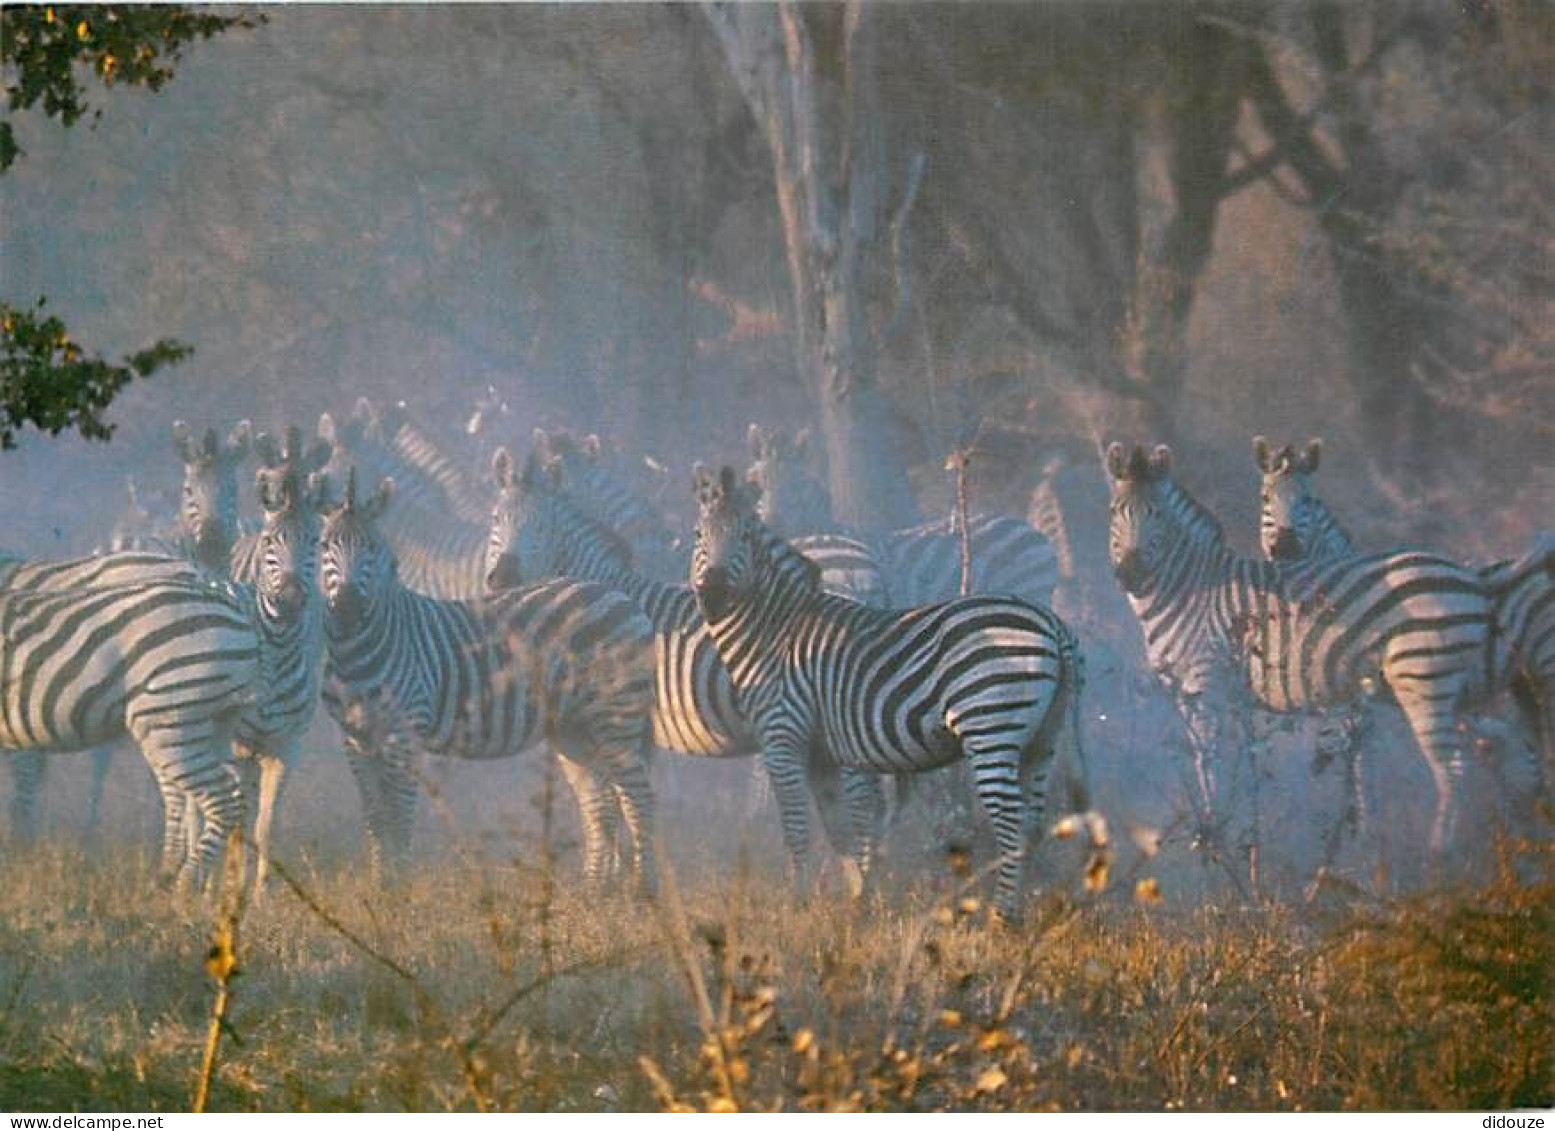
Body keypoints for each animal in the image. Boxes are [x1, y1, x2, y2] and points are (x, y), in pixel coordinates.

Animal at [0, 578, 261, 889]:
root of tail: (240, 619)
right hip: (211, 723)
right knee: (229, 793)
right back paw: (184, 882)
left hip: (171, 715)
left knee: (221, 800)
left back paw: (185, 888)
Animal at [318, 469, 659, 896]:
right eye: (324, 545)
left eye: (372, 547)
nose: (347, 605)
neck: (360, 648)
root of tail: (620, 597)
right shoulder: (355, 738)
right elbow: (375, 817)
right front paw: (380, 887)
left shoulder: (403, 732)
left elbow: (398, 815)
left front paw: (399, 891)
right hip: (576, 728)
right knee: (599, 804)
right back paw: (594, 892)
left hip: (616, 718)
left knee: (638, 800)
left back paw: (642, 893)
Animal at [478, 448, 883, 883]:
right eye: (496, 519)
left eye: (542, 527)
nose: (502, 579)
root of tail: (857, 584)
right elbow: (623, 803)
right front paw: (624, 875)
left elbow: (611, 804)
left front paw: (609, 881)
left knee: (866, 804)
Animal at [687, 463, 1088, 927]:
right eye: (699, 534)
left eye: (746, 536)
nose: (713, 595)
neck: (775, 630)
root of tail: (1054, 625)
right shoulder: (822, 751)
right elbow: (840, 827)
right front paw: (856, 901)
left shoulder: (783, 737)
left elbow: (797, 827)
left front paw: (800, 903)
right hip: (1043, 738)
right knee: (1032, 826)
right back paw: (1018, 916)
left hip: (990, 726)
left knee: (1011, 825)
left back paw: (999, 918)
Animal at [1107, 441, 1492, 858]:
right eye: (1114, 512)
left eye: (1158, 516)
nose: (1130, 574)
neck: (1189, 590)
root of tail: (1468, 578)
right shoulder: (1202, 694)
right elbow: (1231, 763)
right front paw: (1238, 829)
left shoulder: (1205, 685)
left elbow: (1208, 761)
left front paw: (1213, 835)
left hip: (1424, 676)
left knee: (1451, 768)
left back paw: (1440, 853)